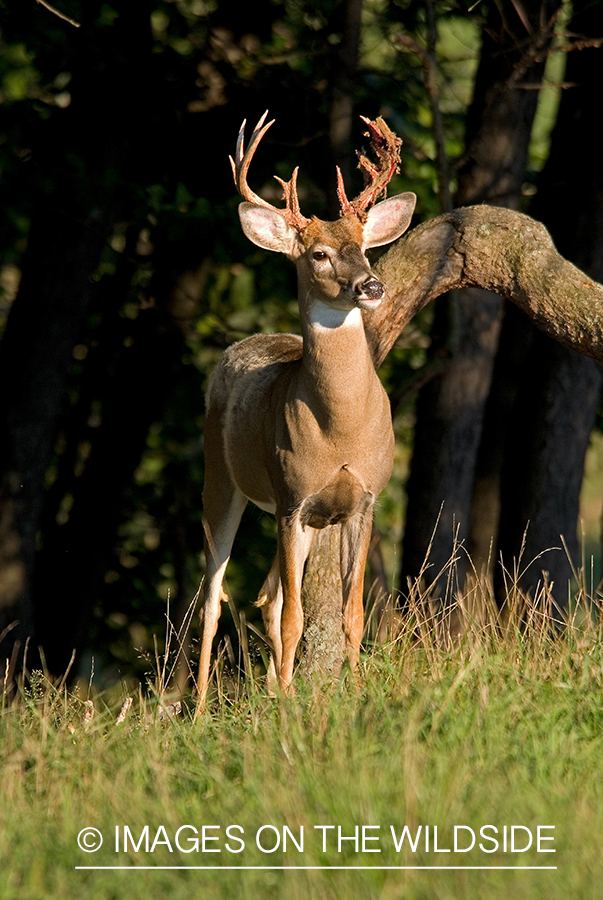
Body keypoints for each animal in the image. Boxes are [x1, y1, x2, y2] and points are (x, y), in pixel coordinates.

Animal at [197, 110, 416, 712]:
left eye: (364, 246)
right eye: (318, 253)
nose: (371, 284)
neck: (339, 428)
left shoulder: (362, 499)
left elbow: (352, 613)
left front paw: (357, 693)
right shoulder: (292, 498)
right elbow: (296, 618)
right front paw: (291, 708)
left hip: (302, 518)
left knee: (267, 595)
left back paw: (274, 687)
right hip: (221, 481)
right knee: (214, 599)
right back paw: (196, 711)